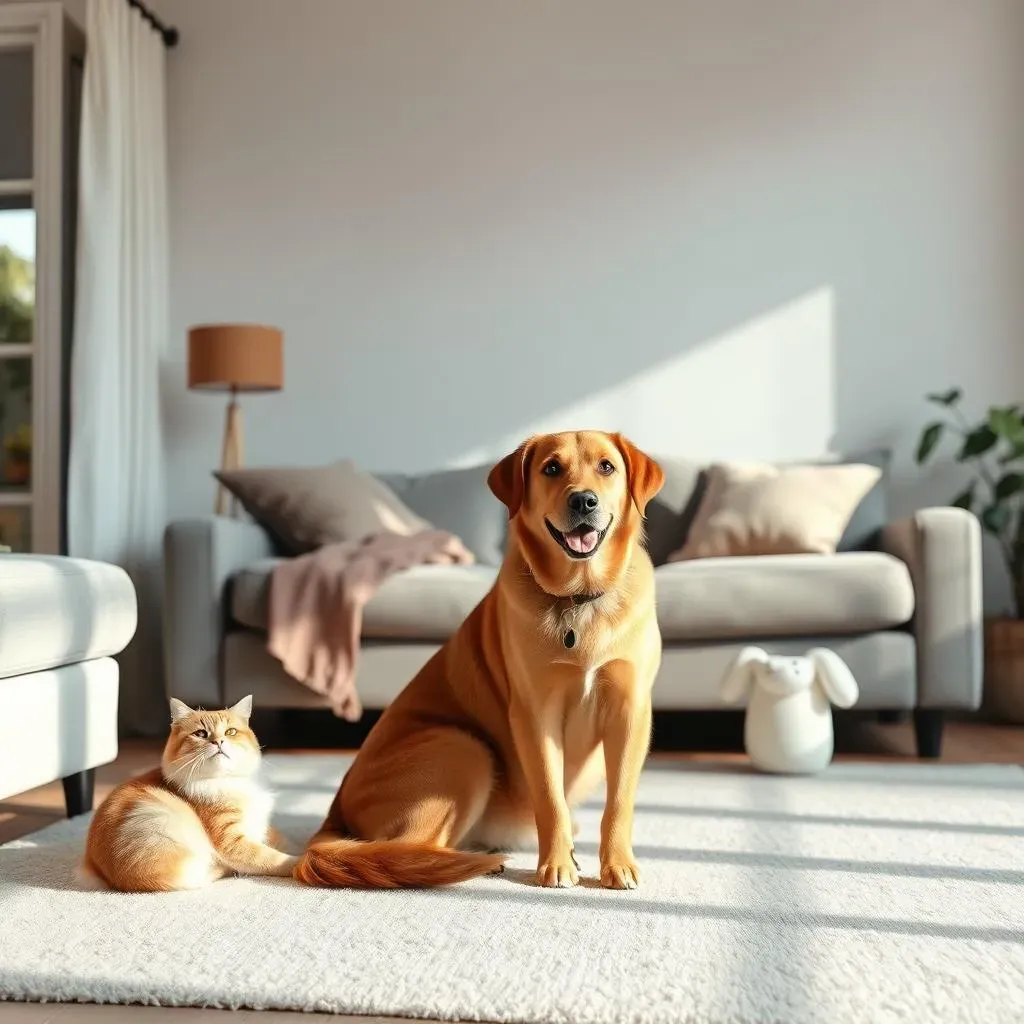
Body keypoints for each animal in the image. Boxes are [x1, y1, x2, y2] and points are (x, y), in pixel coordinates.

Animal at [82, 692, 296, 892]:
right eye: (201, 733)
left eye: (231, 732)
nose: (218, 741)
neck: (223, 780)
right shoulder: (231, 842)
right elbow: (271, 859)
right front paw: (297, 861)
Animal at [296, 430, 663, 888]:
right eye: (552, 468)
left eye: (607, 467)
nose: (584, 501)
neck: (579, 599)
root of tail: (336, 807)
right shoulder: (535, 714)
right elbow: (551, 799)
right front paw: (557, 865)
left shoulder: (631, 711)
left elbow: (619, 803)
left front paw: (617, 865)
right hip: (462, 746)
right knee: (406, 851)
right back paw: (479, 863)